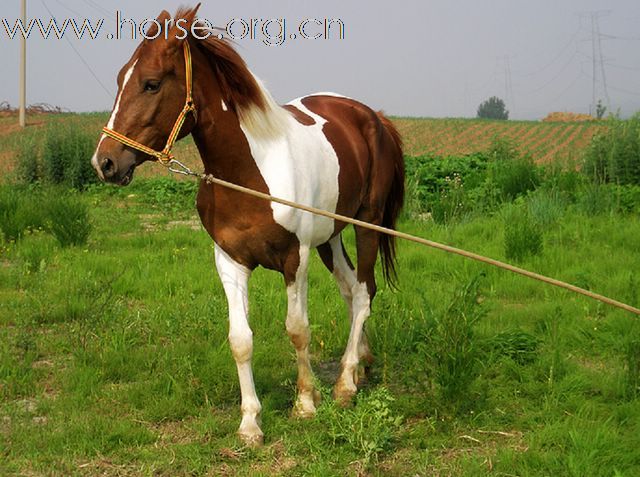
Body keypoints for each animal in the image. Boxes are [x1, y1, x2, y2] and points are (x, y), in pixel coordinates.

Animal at [90, 4, 404, 446]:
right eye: (120, 79)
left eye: (151, 84)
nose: (104, 162)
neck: (249, 173)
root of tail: (373, 117)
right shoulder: (230, 261)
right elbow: (240, 340)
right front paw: (250, 423)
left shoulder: (295, 258)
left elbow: (297, 329)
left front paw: (305, 404)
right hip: (331, 236)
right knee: (349, 290)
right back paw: (359, 362)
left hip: (367, 224)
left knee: (363, 293)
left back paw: (345, 384)